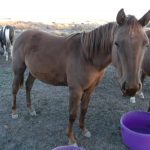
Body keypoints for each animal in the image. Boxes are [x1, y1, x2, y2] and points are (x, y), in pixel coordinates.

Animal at [11, 9, 150, 145]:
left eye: (145, 44)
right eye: (117, 43)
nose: (132, 88)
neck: (86, 56)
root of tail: (22, 34)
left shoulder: (90, 89)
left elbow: (84, 110)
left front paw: (84, 130)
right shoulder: (76, 90)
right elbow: (72, 114)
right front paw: (71, 139)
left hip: (34, 72)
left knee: (28, 86)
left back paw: (31, 110)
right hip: (18, 70)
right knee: (15, 89)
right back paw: (14, 112)